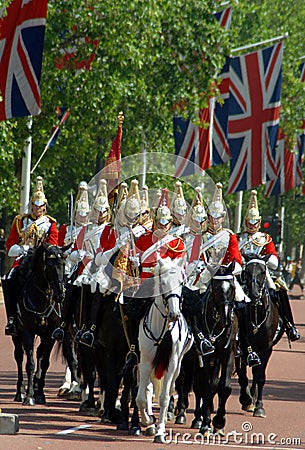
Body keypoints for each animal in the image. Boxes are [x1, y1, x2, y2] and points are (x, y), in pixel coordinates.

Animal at [11, 244, 67, 406]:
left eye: (63, 265)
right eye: (50, 266)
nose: (60, 296)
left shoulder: (51, 334)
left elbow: (44, 362)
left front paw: (40, 394)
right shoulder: (27, 332)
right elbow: (30, 363)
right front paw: (29, 396)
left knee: (40, 354)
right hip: (16, 334)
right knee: (19, 356)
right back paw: (20, 392)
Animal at [135, 256, 192, 442]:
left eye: (181, 282)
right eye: (163, 282)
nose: (174, 314)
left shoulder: (171, 362)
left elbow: (165, 398)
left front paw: (160, 430)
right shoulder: (145, 361)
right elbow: (141, 397)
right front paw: (148, 421)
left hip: (178, 364)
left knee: (171, 387)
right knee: (148, 389)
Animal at [234, 255, 280, 416]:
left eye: (262, 272)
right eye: (246, 272)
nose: (253, 295)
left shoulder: (266, 349)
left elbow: (259, 376)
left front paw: (259, 406)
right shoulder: (241, 345)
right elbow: (242, 374)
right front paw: (246, 399)